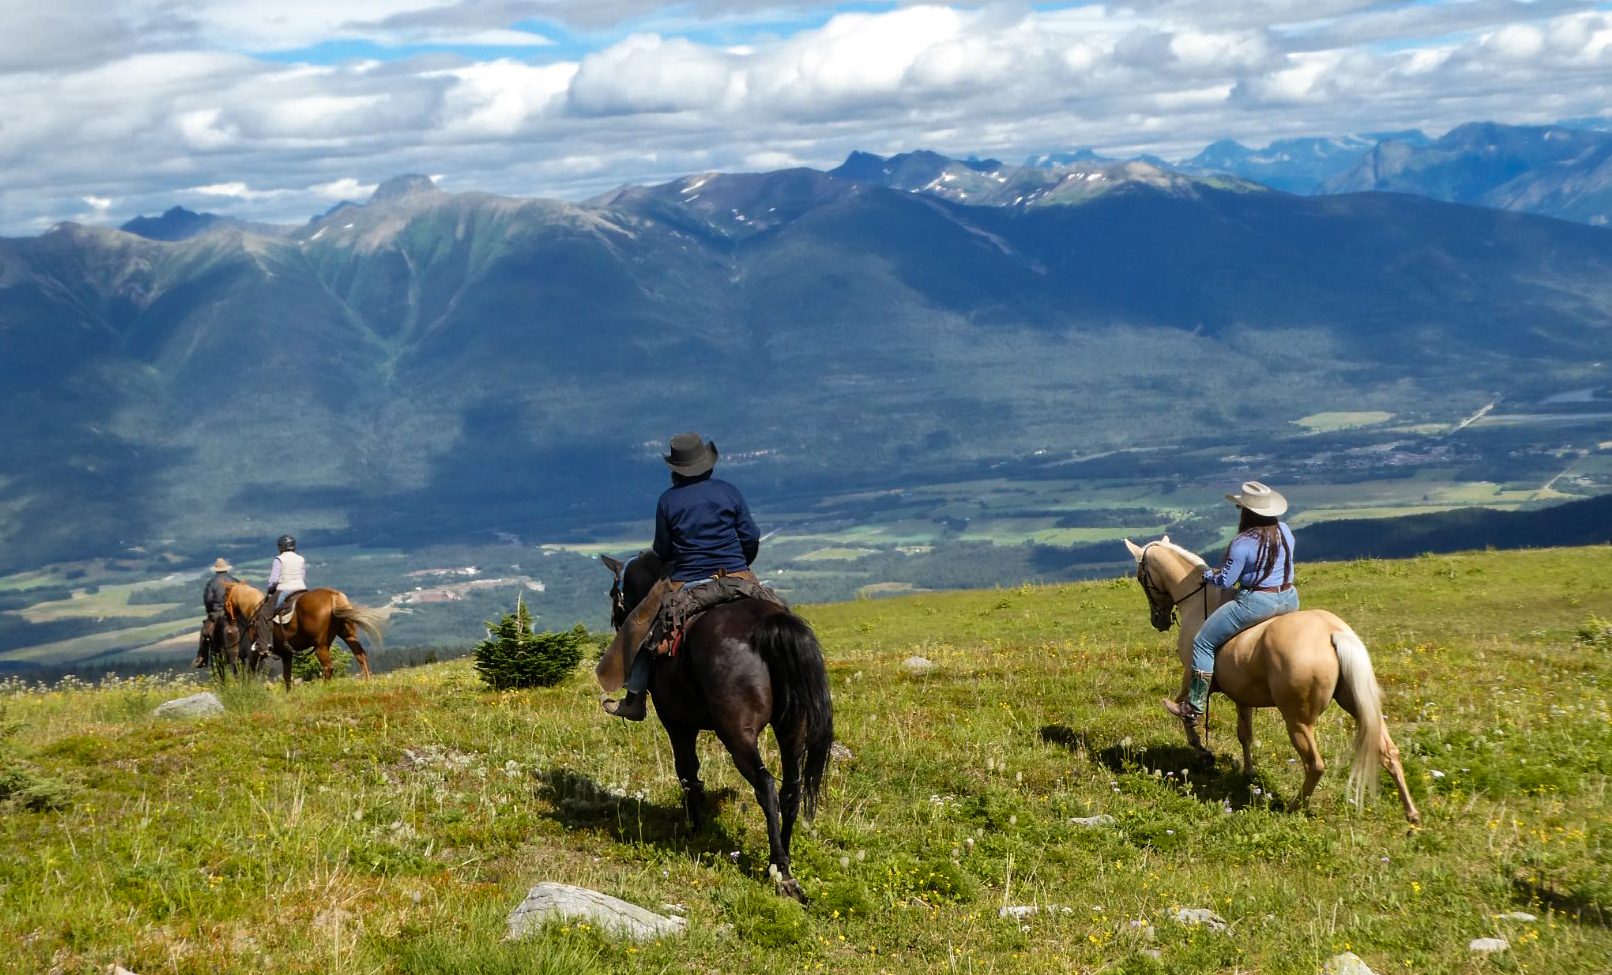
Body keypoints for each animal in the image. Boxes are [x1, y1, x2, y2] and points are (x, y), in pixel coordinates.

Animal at [229, 583, 385, 690]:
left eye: (226, 598)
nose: (229, 619)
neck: (253, 610)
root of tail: (334, 596)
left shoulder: (257, 650)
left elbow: (251, 669)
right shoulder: (286, 654)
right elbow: (286, 676)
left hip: (321, 646)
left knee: (328, 666)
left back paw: (325, 688)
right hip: (348, 635)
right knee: (360, 655)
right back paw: (368, 681)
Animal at [600, 551, 834, 902]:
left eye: (615, 593)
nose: (616, 620)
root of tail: (766, 627)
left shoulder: (676, 723)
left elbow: (687, 772)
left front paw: (695, 829)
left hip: (736, 733)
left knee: (765, 785)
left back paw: (779, 870)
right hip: (792, 728)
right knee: (790, 789)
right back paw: (786, 856)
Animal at [1124, 536, 1421, 825]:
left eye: (1141, 577)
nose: (1158, 621)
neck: (1200, 604)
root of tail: (1332, 633)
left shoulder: (1193, 674)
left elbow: (1185, 712)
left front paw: (1203, 752)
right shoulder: (1242, 695)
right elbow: (1244, 734)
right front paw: (1248, 772)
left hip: (1298, 720)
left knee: (1315, 765)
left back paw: (1293, 806)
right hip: (1358, 704)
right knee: (1388, 752)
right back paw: (1412, 816)